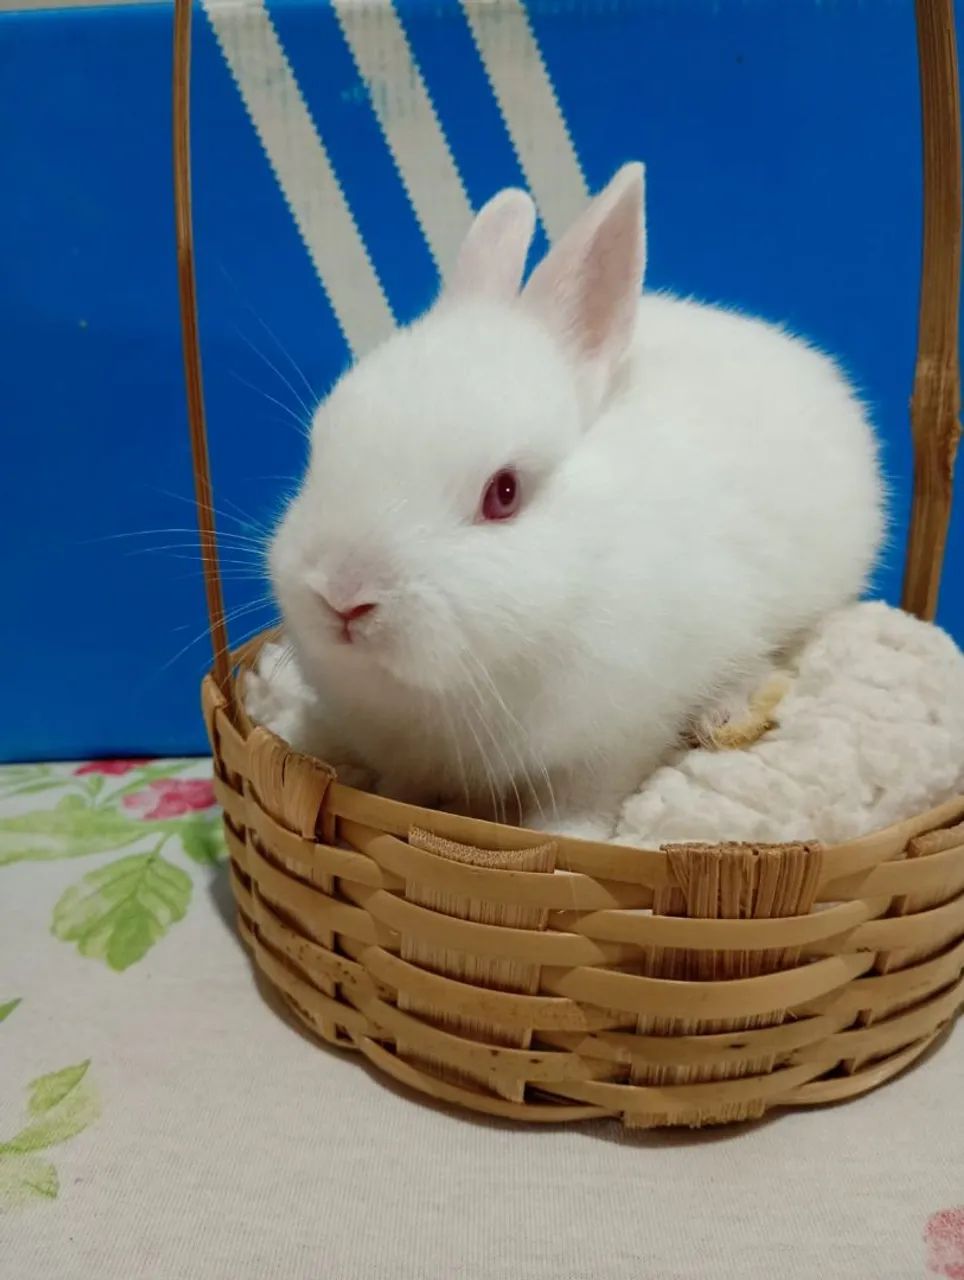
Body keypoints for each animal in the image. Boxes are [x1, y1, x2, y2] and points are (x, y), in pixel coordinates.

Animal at [262, 163, 884, 841]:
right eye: (320, 446)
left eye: (504, 493)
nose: (343, 596)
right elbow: (400, 794)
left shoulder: (617, 737)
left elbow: (585, 797)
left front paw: (567, 836)